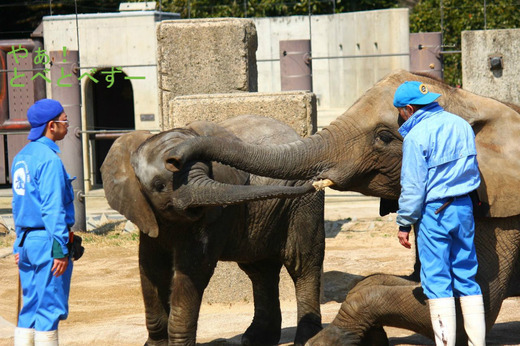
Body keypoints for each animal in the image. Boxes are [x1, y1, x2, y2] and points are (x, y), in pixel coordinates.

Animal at [99, 115, 322, 346]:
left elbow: (192, 269)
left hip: (301, 207)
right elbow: (151, 267)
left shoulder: (216, 216)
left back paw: (307, 339)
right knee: (260, 270)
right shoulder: (145, 211)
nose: (317, 184)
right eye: (159, 185)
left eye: (209, 172)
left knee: (302, 266)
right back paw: (256, 339)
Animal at [166, 69, 520, 344]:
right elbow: (378, 281)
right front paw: (369, 337)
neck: (477, 102)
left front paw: (324, 341)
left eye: (384, 137)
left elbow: (476, 296)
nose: (173, 160)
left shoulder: (497, 212)